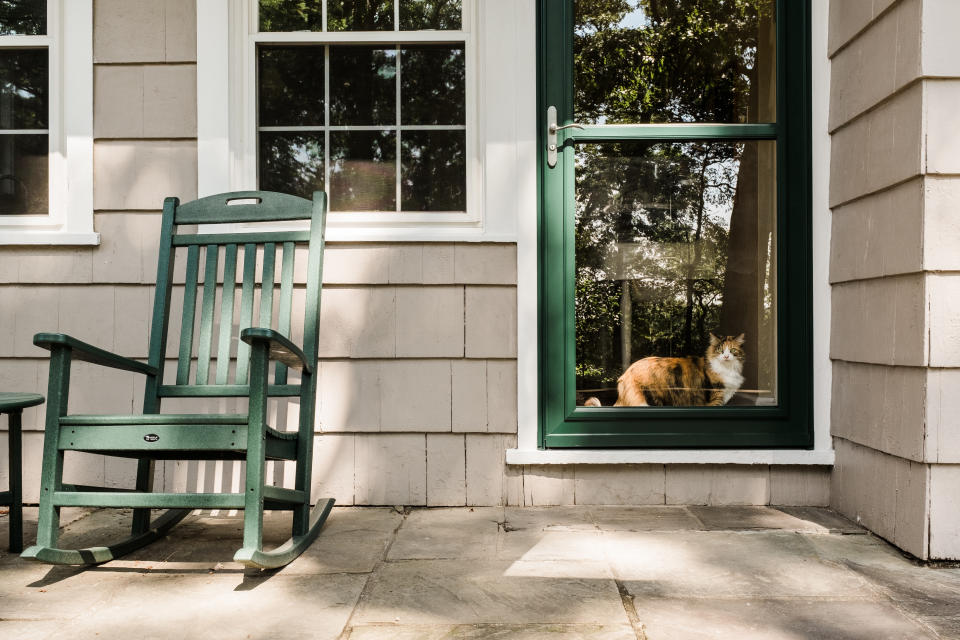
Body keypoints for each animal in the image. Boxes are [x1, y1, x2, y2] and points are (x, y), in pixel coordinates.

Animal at [580, 332, 748, 408]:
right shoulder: (714, 399)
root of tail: (625, 373)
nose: (726, 356)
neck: (728, 368)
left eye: (732, 350)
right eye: (720, 350)